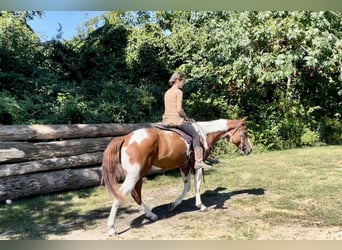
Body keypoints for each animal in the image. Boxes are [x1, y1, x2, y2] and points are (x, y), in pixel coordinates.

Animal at [101, 116, 251, 235]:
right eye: (244, 133)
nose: (249, 149)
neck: (205, 133)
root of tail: (125, 137)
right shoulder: (196, 166)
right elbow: (196, 186)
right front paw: (201, 206)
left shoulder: (184, 166)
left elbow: (187, 187)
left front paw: (173, 205)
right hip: (134, 175)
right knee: (121, 196)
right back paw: (112, 228)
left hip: (138, 175)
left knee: (135, 194)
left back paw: (151, 215)